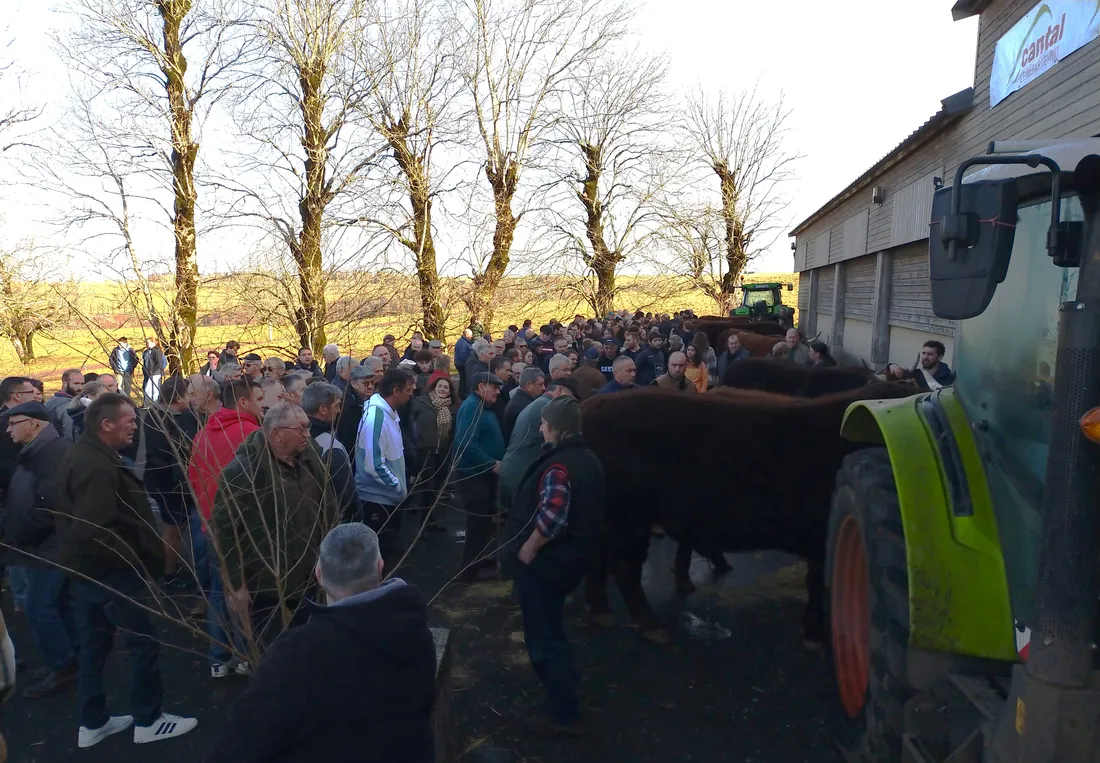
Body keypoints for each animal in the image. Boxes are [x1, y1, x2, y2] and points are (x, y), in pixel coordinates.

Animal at [585, 382, 919, 646]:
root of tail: (592, 408)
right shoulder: (819, 539)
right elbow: (815, 582)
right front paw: (813, 631)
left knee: (599, 558)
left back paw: (602, 611)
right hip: (630, 519)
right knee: (625, 569)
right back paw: (651, 626)